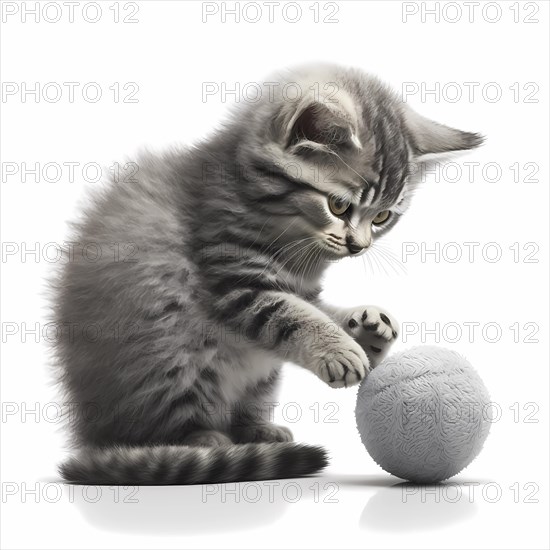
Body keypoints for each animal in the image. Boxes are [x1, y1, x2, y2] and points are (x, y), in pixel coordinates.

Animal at [52, 66, 484, 488]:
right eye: (338, 206)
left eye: (382, 216)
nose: (358, 246)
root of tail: (89, 433)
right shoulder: (233, 276)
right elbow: (293, 315)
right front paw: (339, 350)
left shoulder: (299, 287)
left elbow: (316, 308)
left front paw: (366, 326)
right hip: (171, 353)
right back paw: (203, 440)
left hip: (260, 379)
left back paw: (258, 431)